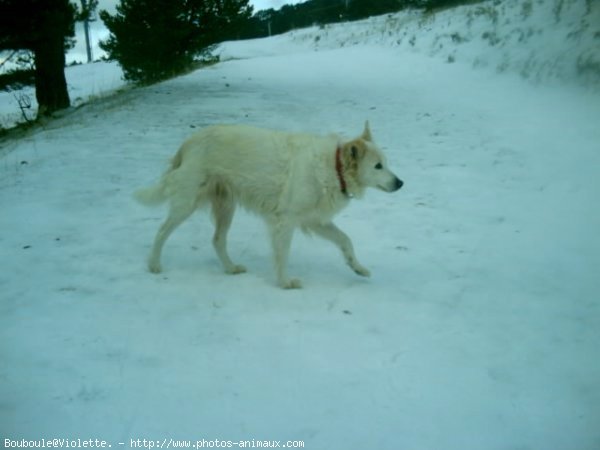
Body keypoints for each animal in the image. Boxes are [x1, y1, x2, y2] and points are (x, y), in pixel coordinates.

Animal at [134, 121, 400, 288]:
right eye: (378, 166)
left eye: (386, 163)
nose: (401, 183)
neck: (334, 168)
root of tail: (190, 141)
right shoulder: (286, 220)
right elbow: (283, 255)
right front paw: (285, 283)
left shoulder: (314, 221)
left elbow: (345, 241)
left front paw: (358, 268)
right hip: (187, 203)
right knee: (161, 231)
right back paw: (154, 264)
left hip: (226, 207)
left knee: (217, 240)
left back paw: (230, 268)